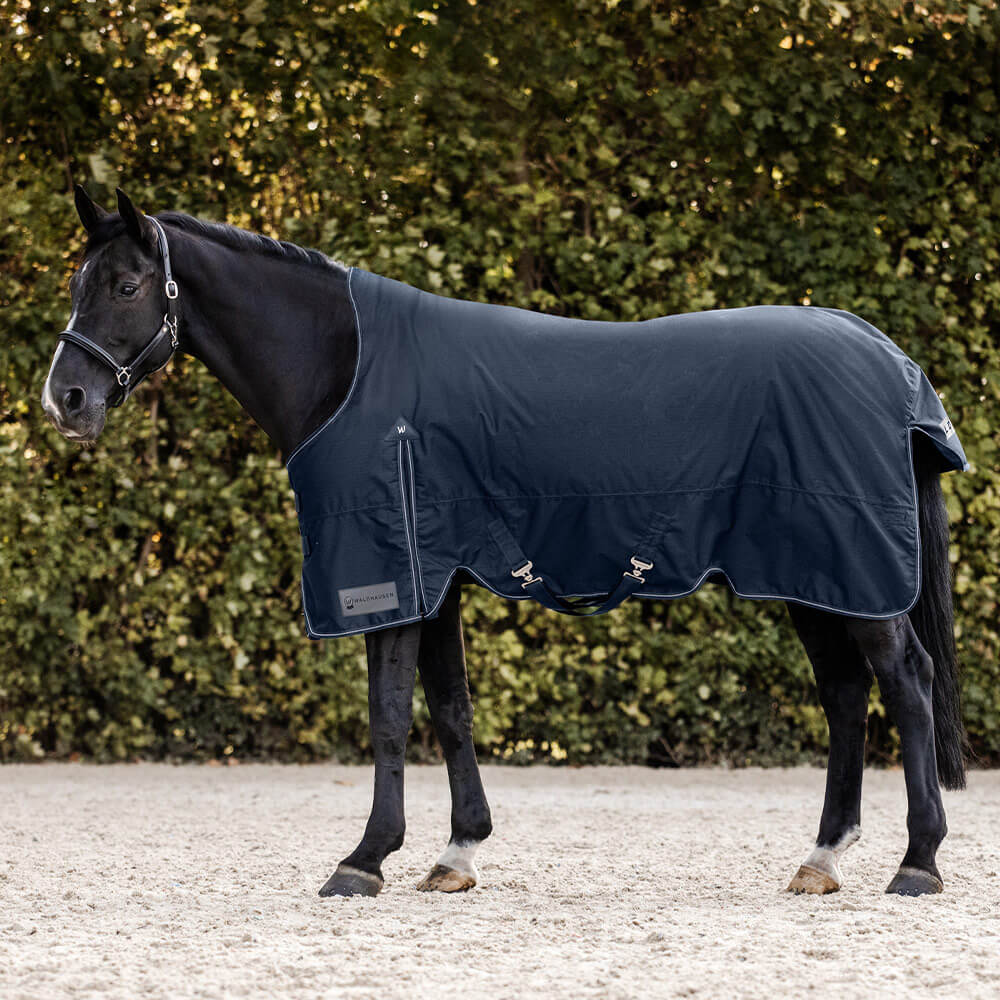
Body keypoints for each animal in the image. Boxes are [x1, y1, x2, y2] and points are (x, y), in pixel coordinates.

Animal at [42, 186, 968, 899]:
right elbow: (450, 708)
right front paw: (456, 852)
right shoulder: (436, 577)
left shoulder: (389, 577)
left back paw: (918, 862)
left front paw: (364, 859)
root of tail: (889, 360)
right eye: (81, 279)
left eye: (127, 283)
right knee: (846, 693)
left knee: (906, 681)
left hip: (852, 571)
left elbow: (388, 715)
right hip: (812, 575)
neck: (350, 371)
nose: (66, 401)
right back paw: (822, 857)